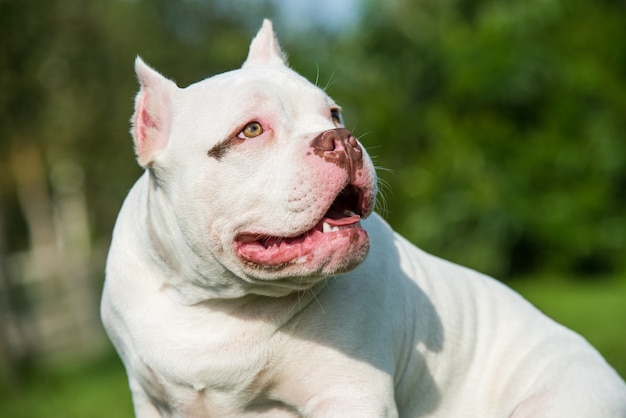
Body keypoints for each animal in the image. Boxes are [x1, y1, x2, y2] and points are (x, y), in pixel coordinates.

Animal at [100, 20, 620, 418]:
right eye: (250, 130)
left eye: (334, 112)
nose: (342, 138)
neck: (218, 303)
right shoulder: (150, 398)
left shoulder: (350, 396)